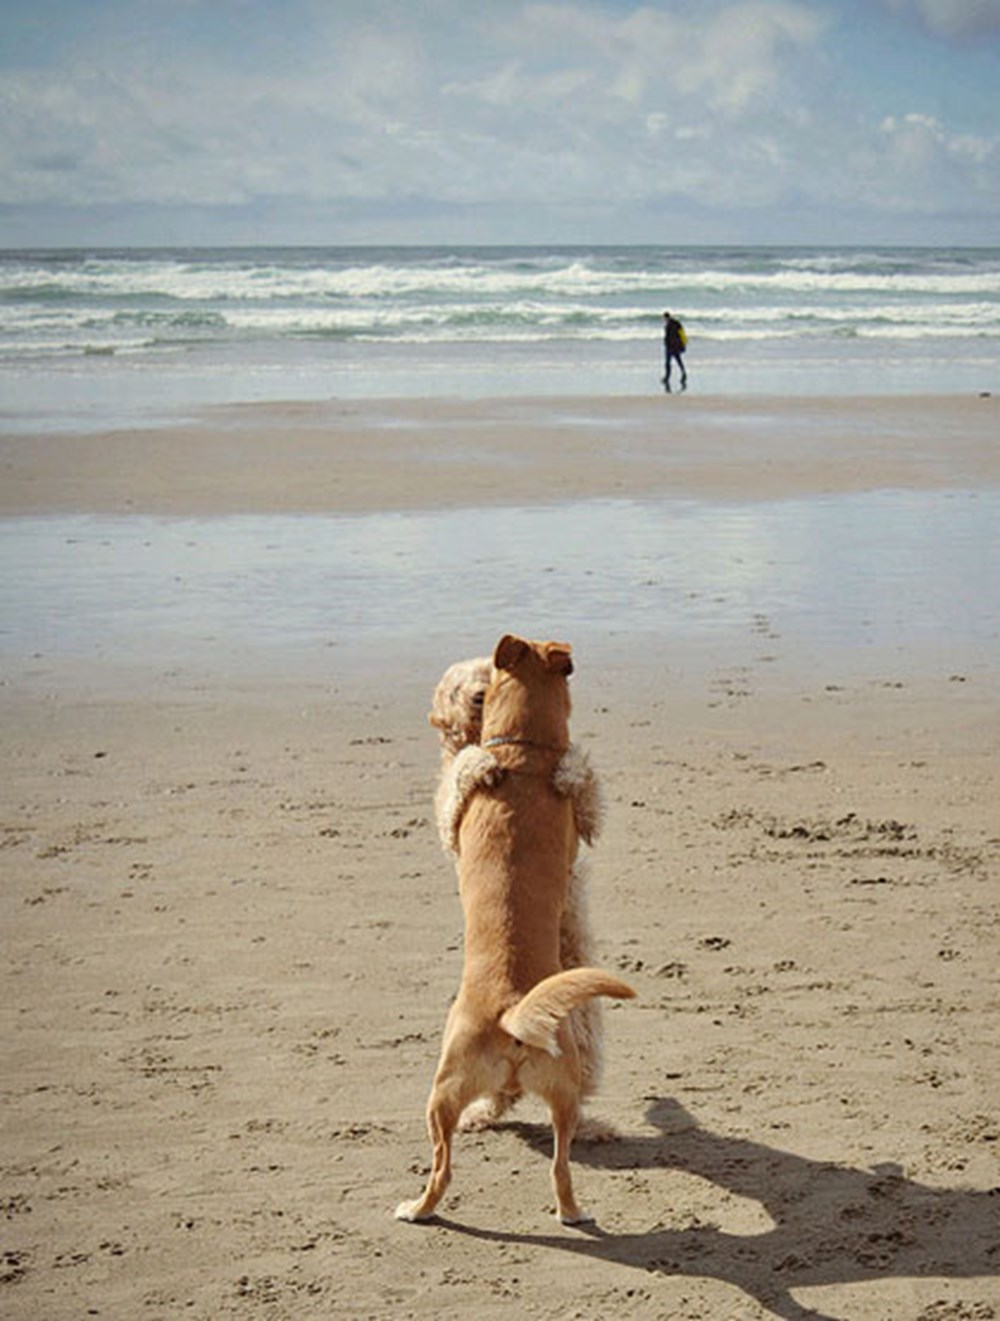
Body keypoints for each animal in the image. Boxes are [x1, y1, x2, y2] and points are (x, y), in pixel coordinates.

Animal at [428, 655, 605, 1120]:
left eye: (487, 673)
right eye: (457, 687)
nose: (477, 695)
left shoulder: (589, 818)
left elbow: (586, 782)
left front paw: (569, 773)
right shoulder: (448, 823)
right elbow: (458, 776)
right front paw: (476, 764)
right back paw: (484, 1111)